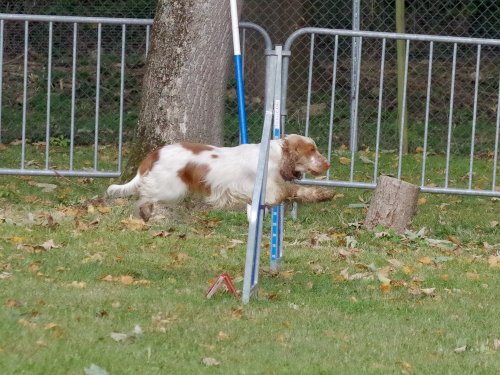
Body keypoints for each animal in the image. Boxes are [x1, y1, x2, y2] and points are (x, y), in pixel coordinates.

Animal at [109, 134, 334, 220]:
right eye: (311, 150)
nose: (328, 163)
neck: (277, 155)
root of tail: (156, 153)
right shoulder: (271, 191)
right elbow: (296, 190)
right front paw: (325, 193)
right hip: (172, 189)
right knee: (145, 196)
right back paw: (145, 212)